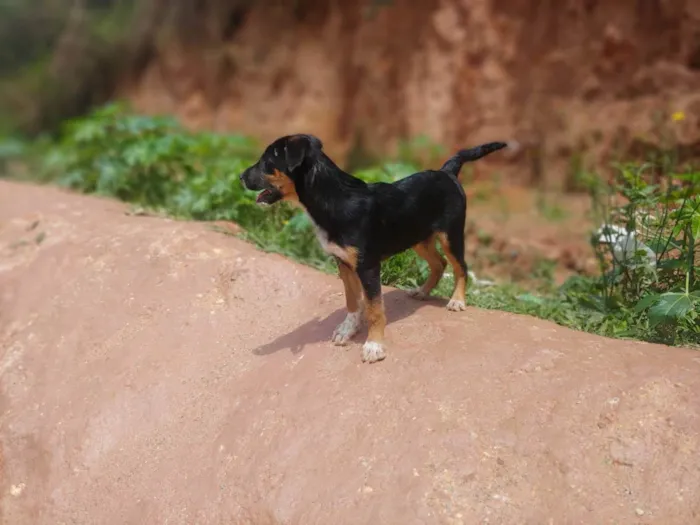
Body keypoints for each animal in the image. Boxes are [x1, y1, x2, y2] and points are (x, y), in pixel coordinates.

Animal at [239, 133, 504, 362]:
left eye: (266, 162)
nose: (241, 177)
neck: (334, 198)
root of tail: (447, 171)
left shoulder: (368, 267)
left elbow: (375, 309)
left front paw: (374, 346)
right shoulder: (344, 263)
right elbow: (353, 301)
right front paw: (348, 329)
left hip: (450, 234)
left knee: (460, 266)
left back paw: (457, 300)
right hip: (418, 238)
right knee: (440, 263)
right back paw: (422, 291)